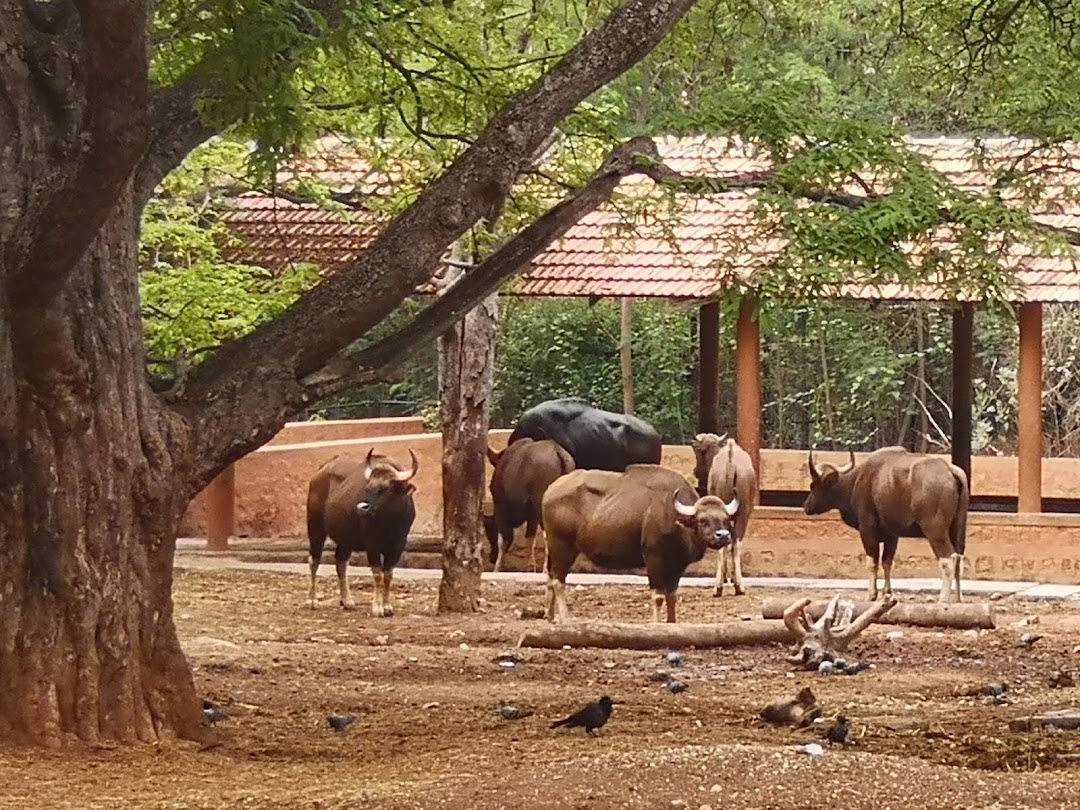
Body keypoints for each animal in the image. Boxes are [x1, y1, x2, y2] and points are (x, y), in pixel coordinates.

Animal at [308, 451, 421, 613]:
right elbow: (377, 574)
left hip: (345, 540)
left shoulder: (398, 544)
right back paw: (312, 600)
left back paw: (347, 601)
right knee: (314, 561)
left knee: (341, 563)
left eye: (385, 489)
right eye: (367, 488)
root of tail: (318, 474)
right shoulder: (372, 544)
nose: (362, 507)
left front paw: (387, 606)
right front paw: (377, 607)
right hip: (315, 528)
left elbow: (388, 574)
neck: (389, 521)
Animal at [486, 438, 578, 570]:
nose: (491, 558)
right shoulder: (532, 515)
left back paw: (545, 569)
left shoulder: (500, 507)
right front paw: (531, 565)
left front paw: (498, 567)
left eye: (489, 533)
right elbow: (530, 536)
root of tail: (557, 452)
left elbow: (503, 539)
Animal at [540, 462, 743, 622]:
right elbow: (658, 596)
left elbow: (672, 596)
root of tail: (549, 490)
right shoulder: (653, 559)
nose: (723, 535)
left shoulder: (677, 566)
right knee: (558, 581)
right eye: (702, 520)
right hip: (563, 546)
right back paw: (565, 619)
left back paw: (550, 616)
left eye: (725, 519)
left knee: (550, 576)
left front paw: (672, 622)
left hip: (554, 548)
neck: (673, 516)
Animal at [691, 434, 760, 600]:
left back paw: (719, 587)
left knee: (723, 545)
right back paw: (738, 586)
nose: (695, 471)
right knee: (735, 544)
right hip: (743, 513)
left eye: (697, 452)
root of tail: (731, 461)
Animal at [803, 451, 972, 604]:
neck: (856, 482)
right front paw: (887, 593)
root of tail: (951, 471)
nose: (806, 506)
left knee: (949, 559)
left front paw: (872, 594)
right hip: (958, 529)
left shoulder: (867, 529)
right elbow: (887, 561)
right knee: (959, 557)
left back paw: (943, 598)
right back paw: (958, 598)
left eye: (813, 485)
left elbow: (872, 561)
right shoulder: (892, 535)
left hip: (935, 531)